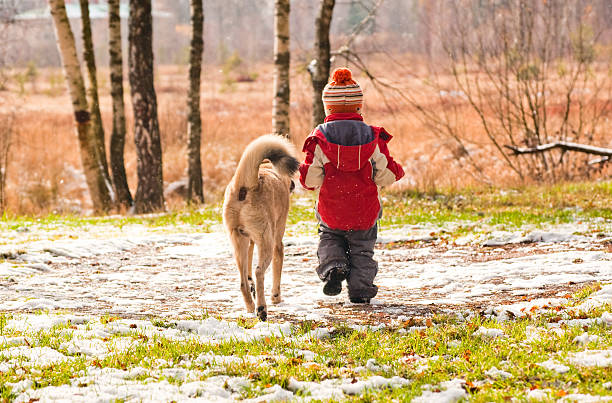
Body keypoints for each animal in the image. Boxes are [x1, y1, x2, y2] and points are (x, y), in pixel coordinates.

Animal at [225, 136, 302, 322]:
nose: (293, 184)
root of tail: (244, 187)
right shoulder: (277, 243)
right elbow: (277, 271)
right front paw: (276, 298)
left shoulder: (250, 243)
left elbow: (248, 274)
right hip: (266, 241)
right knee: (259, 272)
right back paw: (262, 309)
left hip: (238, 242)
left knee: (242, 281)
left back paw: (250, 306)